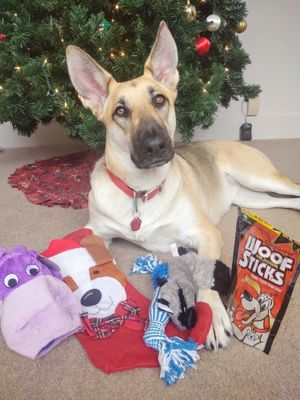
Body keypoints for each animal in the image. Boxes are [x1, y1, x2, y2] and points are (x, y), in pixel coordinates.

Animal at [66, 21, 300, 350]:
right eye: (120, 111)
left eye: (159, 100)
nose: (155, 146)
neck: (142, 191)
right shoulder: (95, 229)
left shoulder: (207, 233)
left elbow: (205, 272)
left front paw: (211, 315)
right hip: (253, 200)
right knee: (287, 201)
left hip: (258, 176)